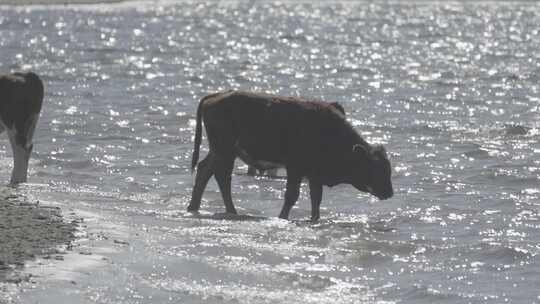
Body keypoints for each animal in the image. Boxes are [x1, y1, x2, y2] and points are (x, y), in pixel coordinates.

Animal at [189, 90, 392, 221]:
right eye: (374, 168)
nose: (389, 192)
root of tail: (214, 96)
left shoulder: (314, 175)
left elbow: (316, 198)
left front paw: (314, 219)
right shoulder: (295, 169)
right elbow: (292, 196)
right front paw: (282, 217)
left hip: (220, 152)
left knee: (205, 170)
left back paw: (195, 207)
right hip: (225, 151)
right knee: (221, 176)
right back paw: (230, 211)